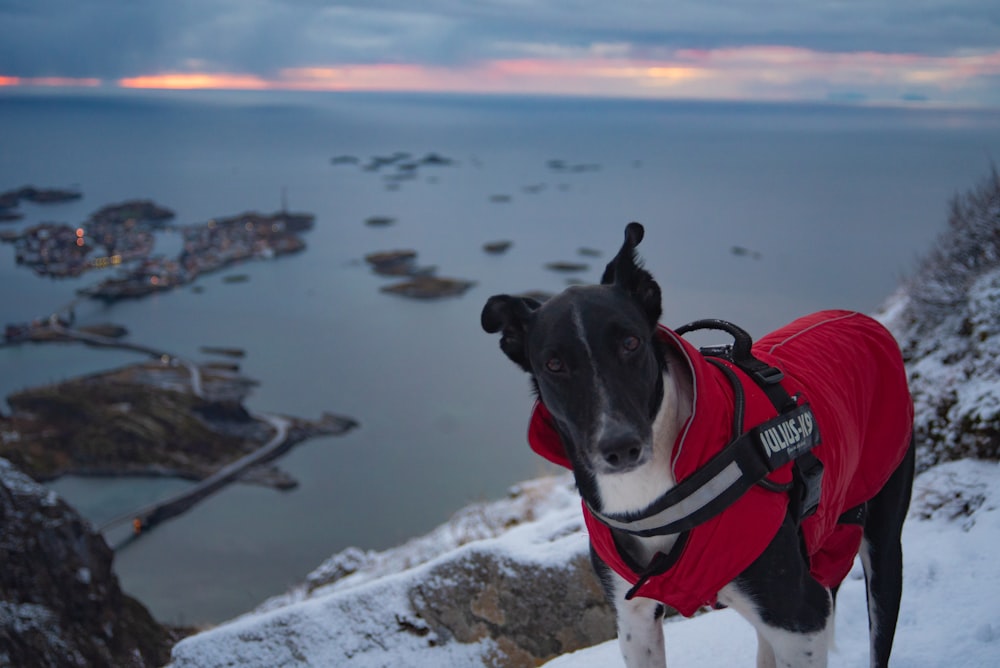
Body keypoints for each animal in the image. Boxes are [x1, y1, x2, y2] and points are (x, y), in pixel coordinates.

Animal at [482, 222, 916, 664]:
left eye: (630, 343)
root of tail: (859, 318)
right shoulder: (634, 619)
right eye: (554, 364)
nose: (619, 447)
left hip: (882, 541)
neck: (653, 498)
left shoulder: (801, 619)